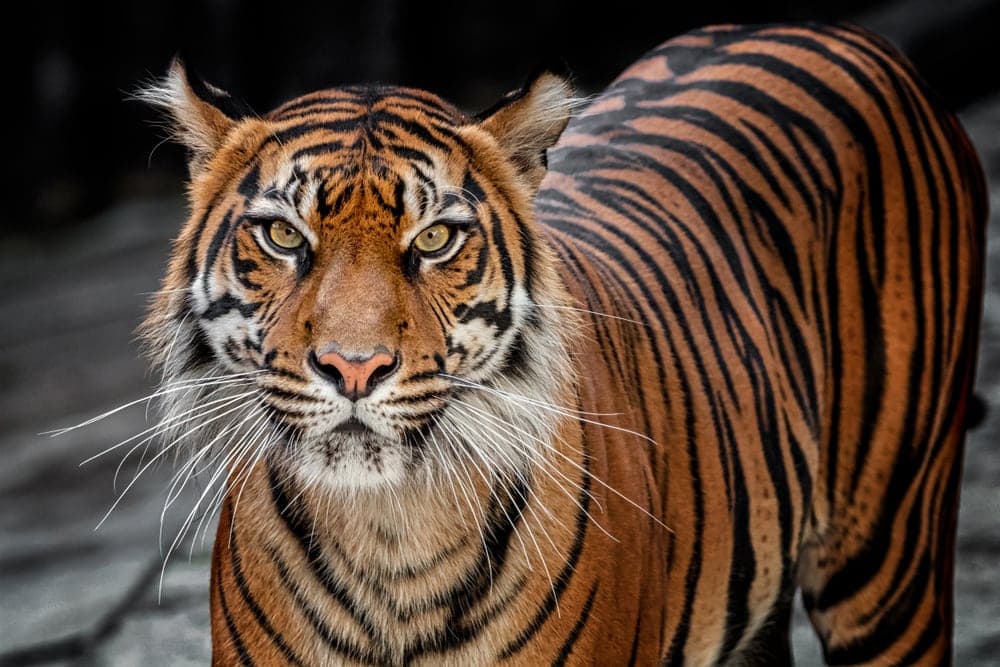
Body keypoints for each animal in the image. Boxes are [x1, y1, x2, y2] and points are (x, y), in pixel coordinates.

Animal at [137, 22, 986, 666]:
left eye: (436, 238)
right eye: (284, 235)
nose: (354, 366)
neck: (391, 537)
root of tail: (833, 30)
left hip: (890, 553)